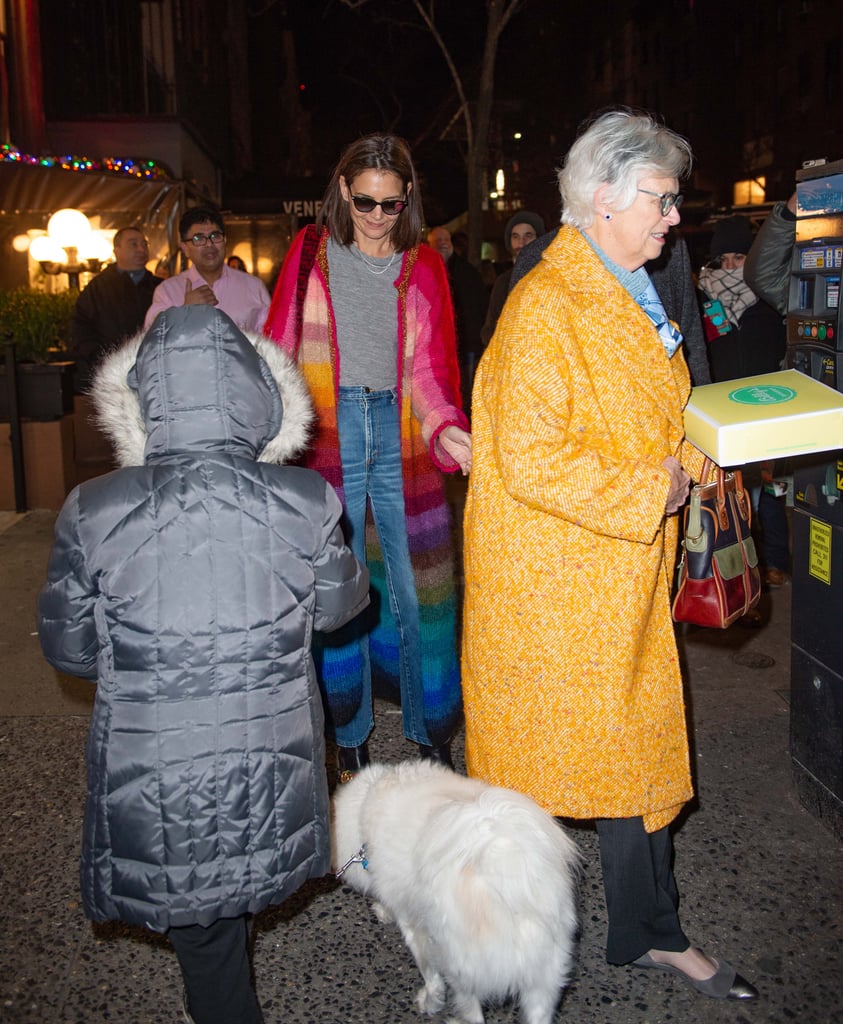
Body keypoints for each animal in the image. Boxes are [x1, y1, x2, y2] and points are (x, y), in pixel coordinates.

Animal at [329, 761, 581, 1024]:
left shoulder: (415, 927)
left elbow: (430, 974)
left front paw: (429, 1002)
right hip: (545, 976)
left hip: (463, 971)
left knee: (473, 1014)